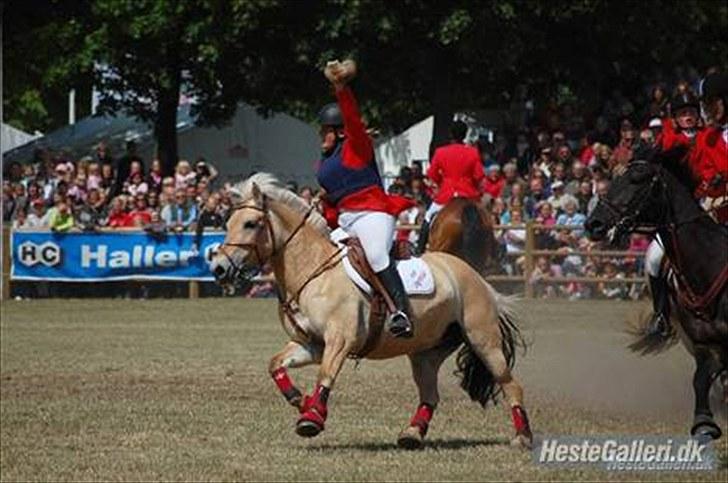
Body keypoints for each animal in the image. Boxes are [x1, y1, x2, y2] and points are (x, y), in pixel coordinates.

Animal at [210, 174, 536, 450]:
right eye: (228, 223)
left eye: (251, 224)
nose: (219, 268)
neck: (312, 270)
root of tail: (477, 278)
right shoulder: (312, 344)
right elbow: (275, 364)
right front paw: (301, 401)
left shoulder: (339, 341)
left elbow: (326, 374)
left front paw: (312, 418)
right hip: (425, 352)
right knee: (430, 394)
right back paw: (412, 433)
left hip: (484, 341)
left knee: (512, 386)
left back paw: (522, 437)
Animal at [584, 152, 728, 442]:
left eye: (637, 180)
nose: (593, 223)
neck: (707, 266)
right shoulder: (704, 344)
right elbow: (700, 380)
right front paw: (704, 423)